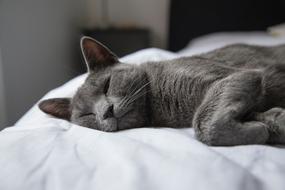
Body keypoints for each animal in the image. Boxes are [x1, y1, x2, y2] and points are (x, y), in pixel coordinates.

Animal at [38, 36, 284, 145]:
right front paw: (268, 126)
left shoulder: (237, 76)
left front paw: (263, 129)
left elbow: (203, 123)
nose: (106, 111)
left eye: (107, 85)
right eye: (87, 115)